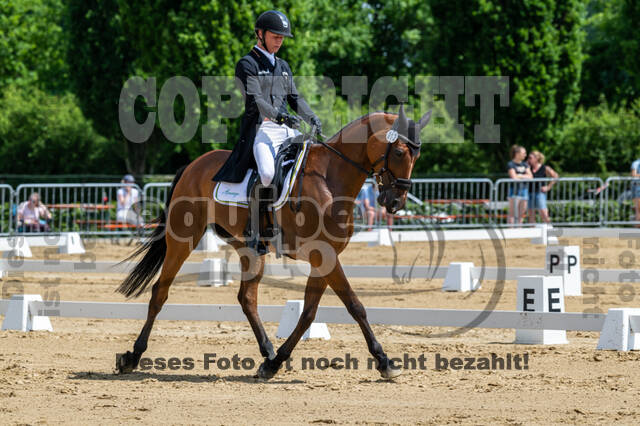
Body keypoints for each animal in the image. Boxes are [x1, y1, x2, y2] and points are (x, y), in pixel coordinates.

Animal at [115, 104, 432, 379]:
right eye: (400, 152)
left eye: (417, 156)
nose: (394, 202)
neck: (330, 179)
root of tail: (193, 166)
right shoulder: (325, 255)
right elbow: (355, 306)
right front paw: (385, 361)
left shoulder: (324, 257)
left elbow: (308, 313)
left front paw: (276, 362)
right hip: (183, 239)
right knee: (160, 292)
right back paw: (132, 356)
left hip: (248, 248)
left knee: (247, 298)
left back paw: (267, 353)